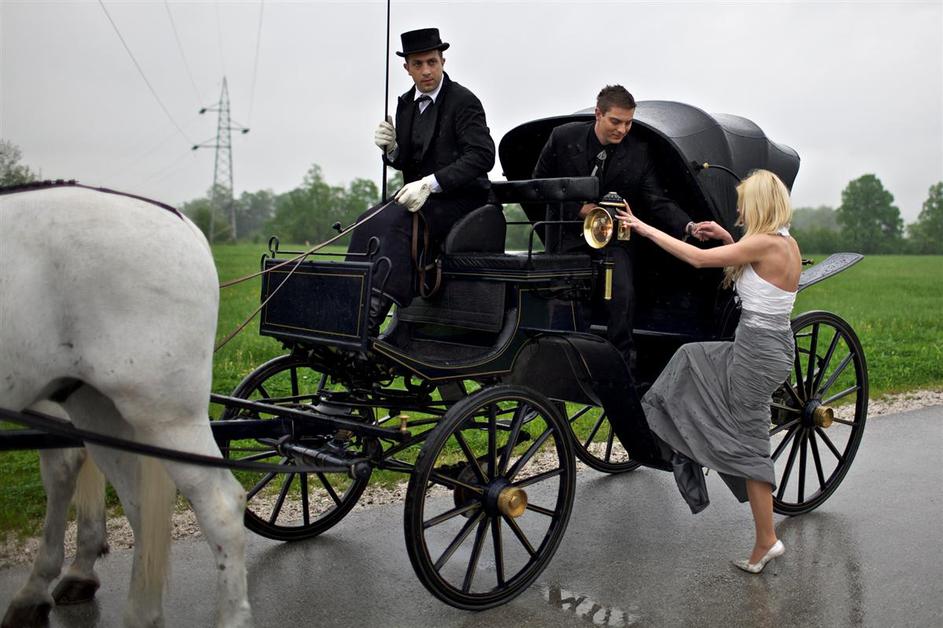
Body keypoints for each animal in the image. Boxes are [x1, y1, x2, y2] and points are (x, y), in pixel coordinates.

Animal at [0, 184, 252, 627]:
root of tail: (182, 222)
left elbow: (62, 471)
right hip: (99, 405)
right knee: (140, 507)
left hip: (165, 413)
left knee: (220, 507)